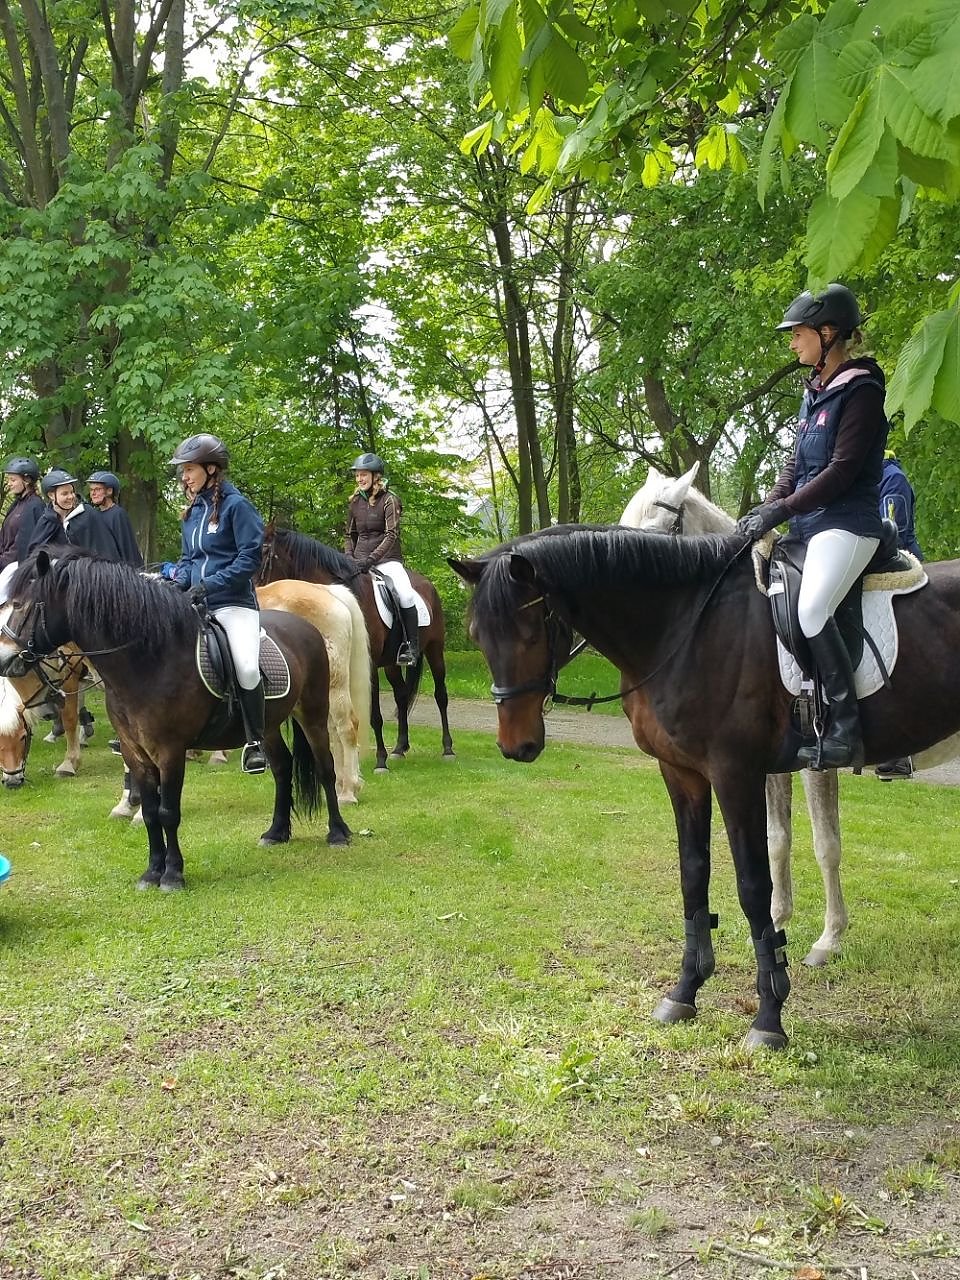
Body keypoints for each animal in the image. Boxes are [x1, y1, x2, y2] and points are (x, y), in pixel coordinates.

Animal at [0, 550, 351, 891]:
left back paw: (338, 832)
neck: (148, 661)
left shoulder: (169, 751)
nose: (4, 660)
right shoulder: (135, 751)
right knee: (282, 768)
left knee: (325, 768)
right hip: (268, 726)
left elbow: (168, 812)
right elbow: (151, 813)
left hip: (314, 714)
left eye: (21, 605)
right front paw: (151, 873)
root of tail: (304, 625)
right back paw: (276, 832)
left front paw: (172, 875)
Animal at [256, 579, 371, 804]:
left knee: (347, 727)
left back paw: (348, 791)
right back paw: (339, 786)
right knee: (332, 732)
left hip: (334, 686)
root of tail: (327, 591)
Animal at [258, 525, 454, 772]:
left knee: (441, 695)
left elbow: (374, 714)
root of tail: (428, 585)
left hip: (435, 650)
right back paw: (400, 748)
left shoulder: (368, 665)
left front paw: (380, 761)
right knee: (401, 696)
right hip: (391, 664)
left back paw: (448, 749)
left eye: (265, 554)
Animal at [451, 525, 960, 1047]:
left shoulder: (737, 774)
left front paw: (769, 1015)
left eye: (532, 632)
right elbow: (693, 876)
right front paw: (685, 991)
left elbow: (755, 885)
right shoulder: (682, 773)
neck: (686, 627)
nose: (516, 745)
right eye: (476, 636)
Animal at [621, 462, 845, 966]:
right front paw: (776, 922)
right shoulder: (768, 764)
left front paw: (829, 938)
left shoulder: (817, 762)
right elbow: (777, 839)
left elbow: (826, 844)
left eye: (654, 536)